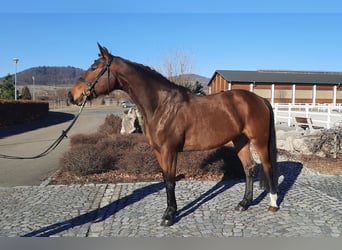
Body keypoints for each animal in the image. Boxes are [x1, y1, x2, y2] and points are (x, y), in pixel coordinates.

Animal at [67, 44, 278, 228]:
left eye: (94, 68)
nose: (71, 95)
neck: (161, 105)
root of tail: (260, 100)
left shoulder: (170, 151)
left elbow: (170, 180)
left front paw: (169, 216)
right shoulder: (159, 151)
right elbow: (165, 178)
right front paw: (171, 211)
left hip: (259, 141)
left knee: (267, 167)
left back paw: (273, 204)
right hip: (240, 140)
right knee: (249, 168)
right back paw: (244, 204)